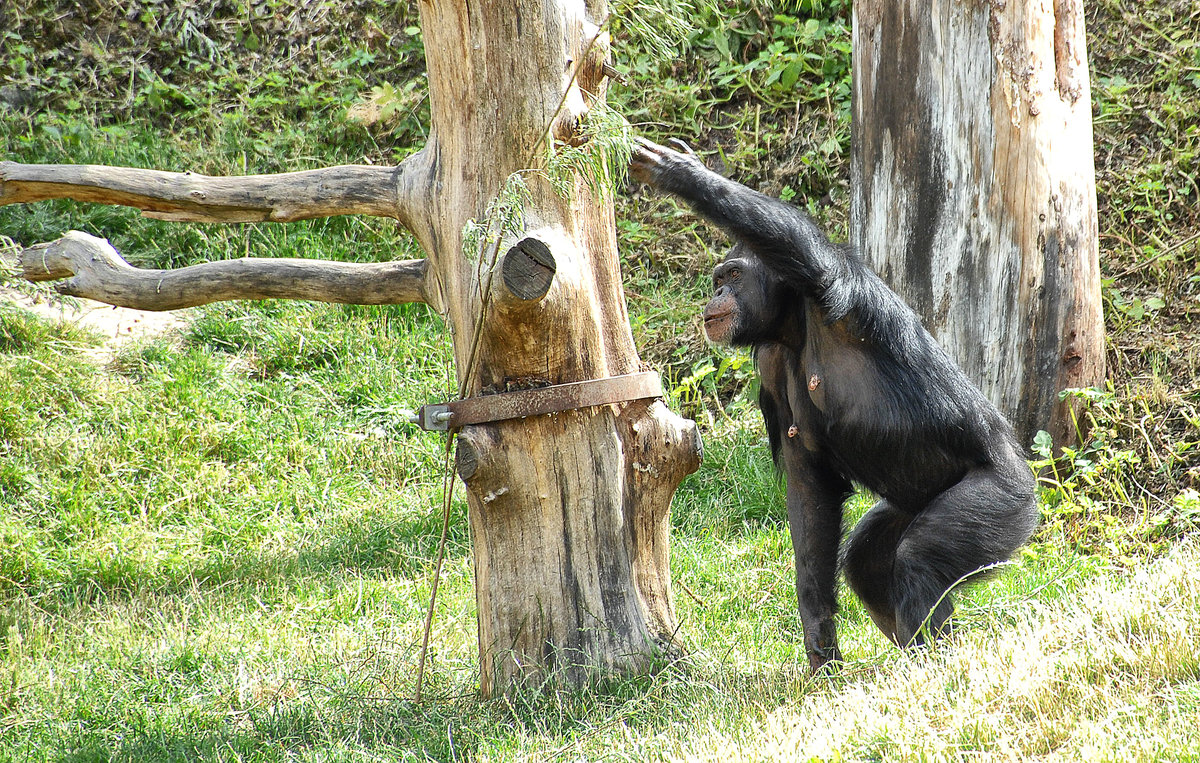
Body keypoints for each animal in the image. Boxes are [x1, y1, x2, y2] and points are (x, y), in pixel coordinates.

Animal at [633, 137, 1036, 667]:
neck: (793, 326)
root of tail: (1028, 472)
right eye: (719, 279)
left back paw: (935, 666)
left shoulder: (827, 279)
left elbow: (788, 233)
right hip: (909, 505)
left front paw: (682, 173)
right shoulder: (772, 368)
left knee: (920, 560)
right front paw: (819, 637)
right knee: (866, 562)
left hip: (1002, 497)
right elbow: (810, 491)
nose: (715, 294)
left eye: (734, 275)